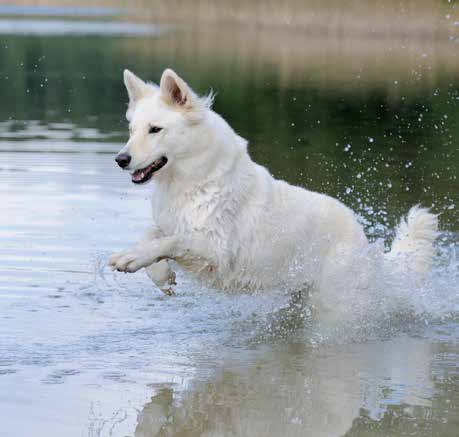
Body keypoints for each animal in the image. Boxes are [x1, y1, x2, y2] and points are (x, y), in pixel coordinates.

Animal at [108, 69, 438, 292]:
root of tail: (366, 245)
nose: (120, 160)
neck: (192, 180)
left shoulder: (215, 251)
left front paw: (131, 258)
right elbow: (153, 234)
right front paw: (159, 275)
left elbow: (172, 240)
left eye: (155, 130)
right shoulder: (172, 223)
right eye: (132, 130)